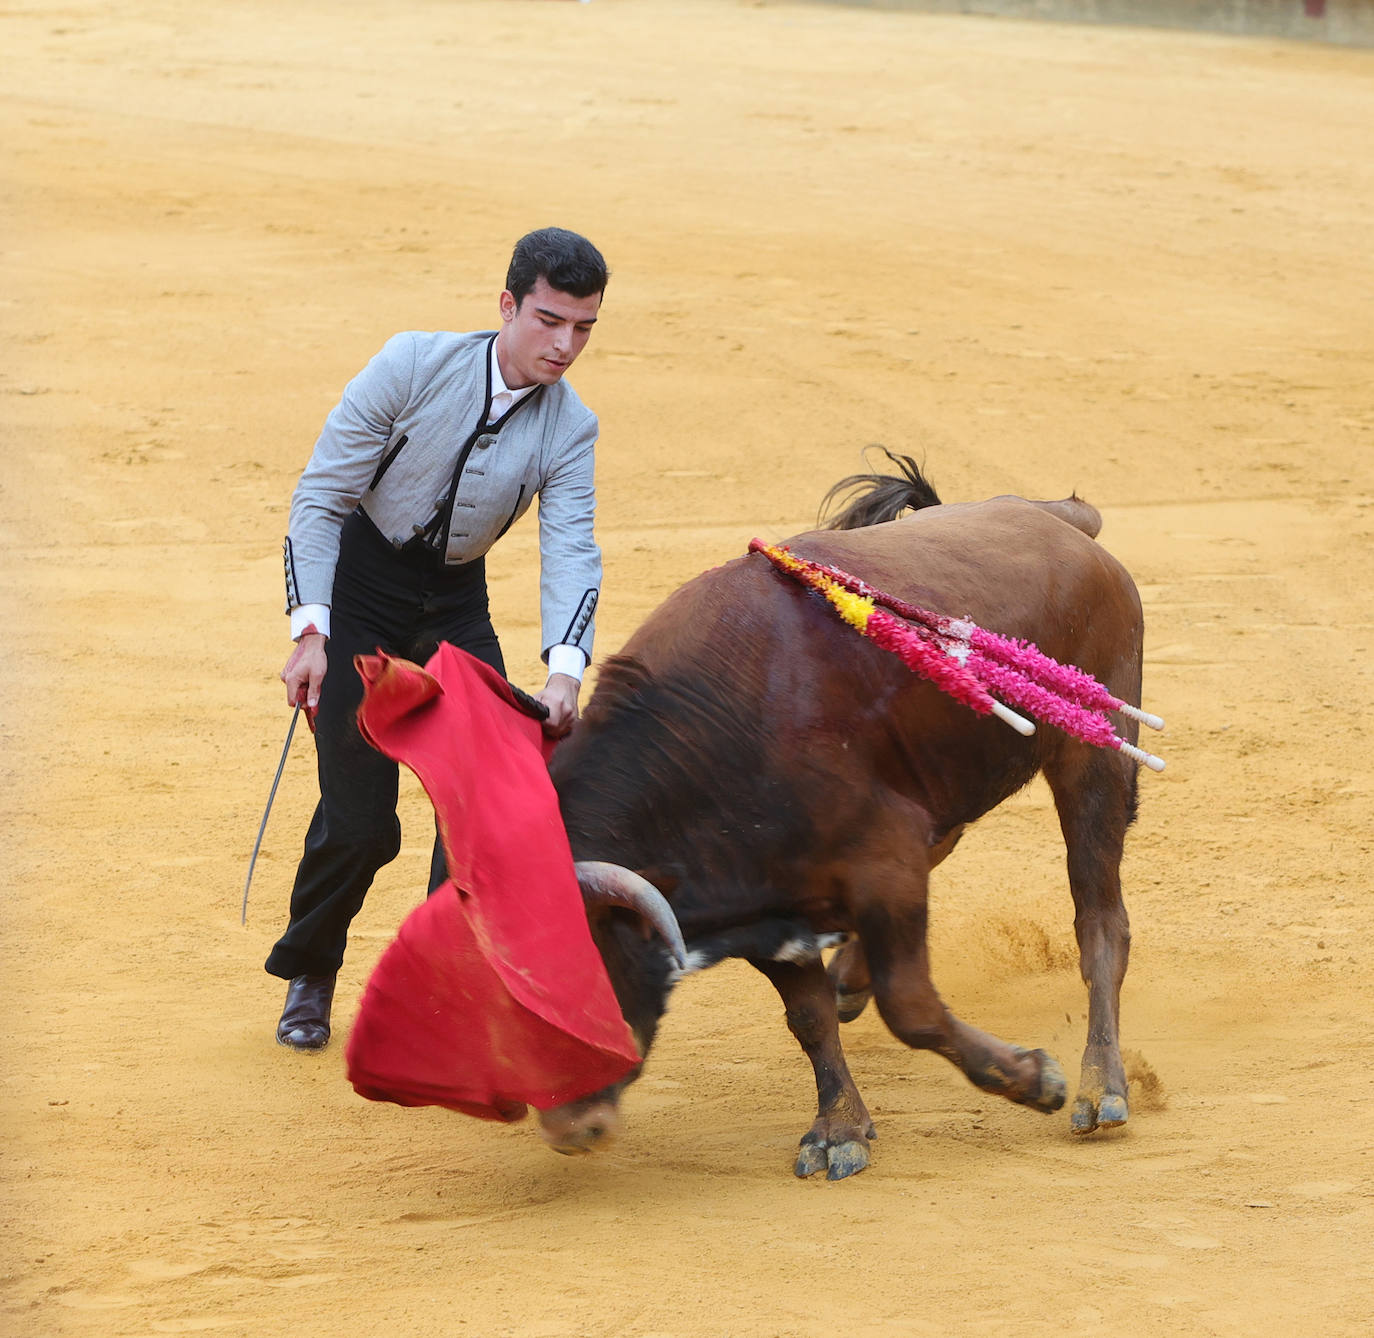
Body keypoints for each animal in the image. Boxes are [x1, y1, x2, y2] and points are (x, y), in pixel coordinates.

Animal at [541, 461, 1143, 1181]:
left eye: (589, 985)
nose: (570, 1130)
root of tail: (1056, 518)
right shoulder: (776, 901)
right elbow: (810, 1016)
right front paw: (838, 1128)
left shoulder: (885, 864)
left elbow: (910, 1006)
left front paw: (1035, 1078)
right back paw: (853, 978)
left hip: (1096, 757)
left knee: (1100, 921)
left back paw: (1100, 1088)